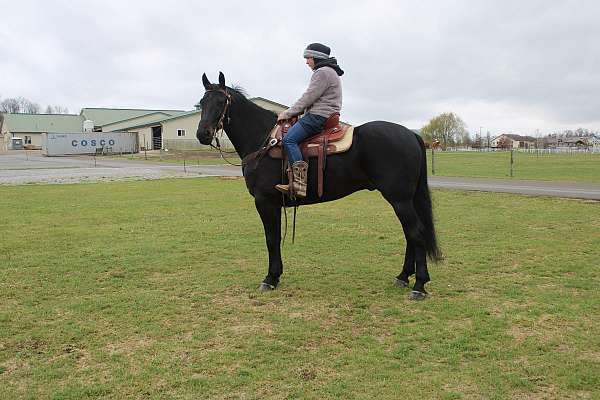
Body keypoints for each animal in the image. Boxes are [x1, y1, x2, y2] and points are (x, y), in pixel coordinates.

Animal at [197, 72, 440, 298]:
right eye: (202, 102)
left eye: (221, 102)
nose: (203, 134)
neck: (263, 140)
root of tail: (411, 134)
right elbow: (274, 238)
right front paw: (275, 275)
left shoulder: (265, 202)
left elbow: (271, 239)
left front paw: (270, 278)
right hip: (404, 200)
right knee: (410, 234)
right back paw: (403, 276)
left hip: (399, 199)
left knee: (415, 233)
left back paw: (419, 285)